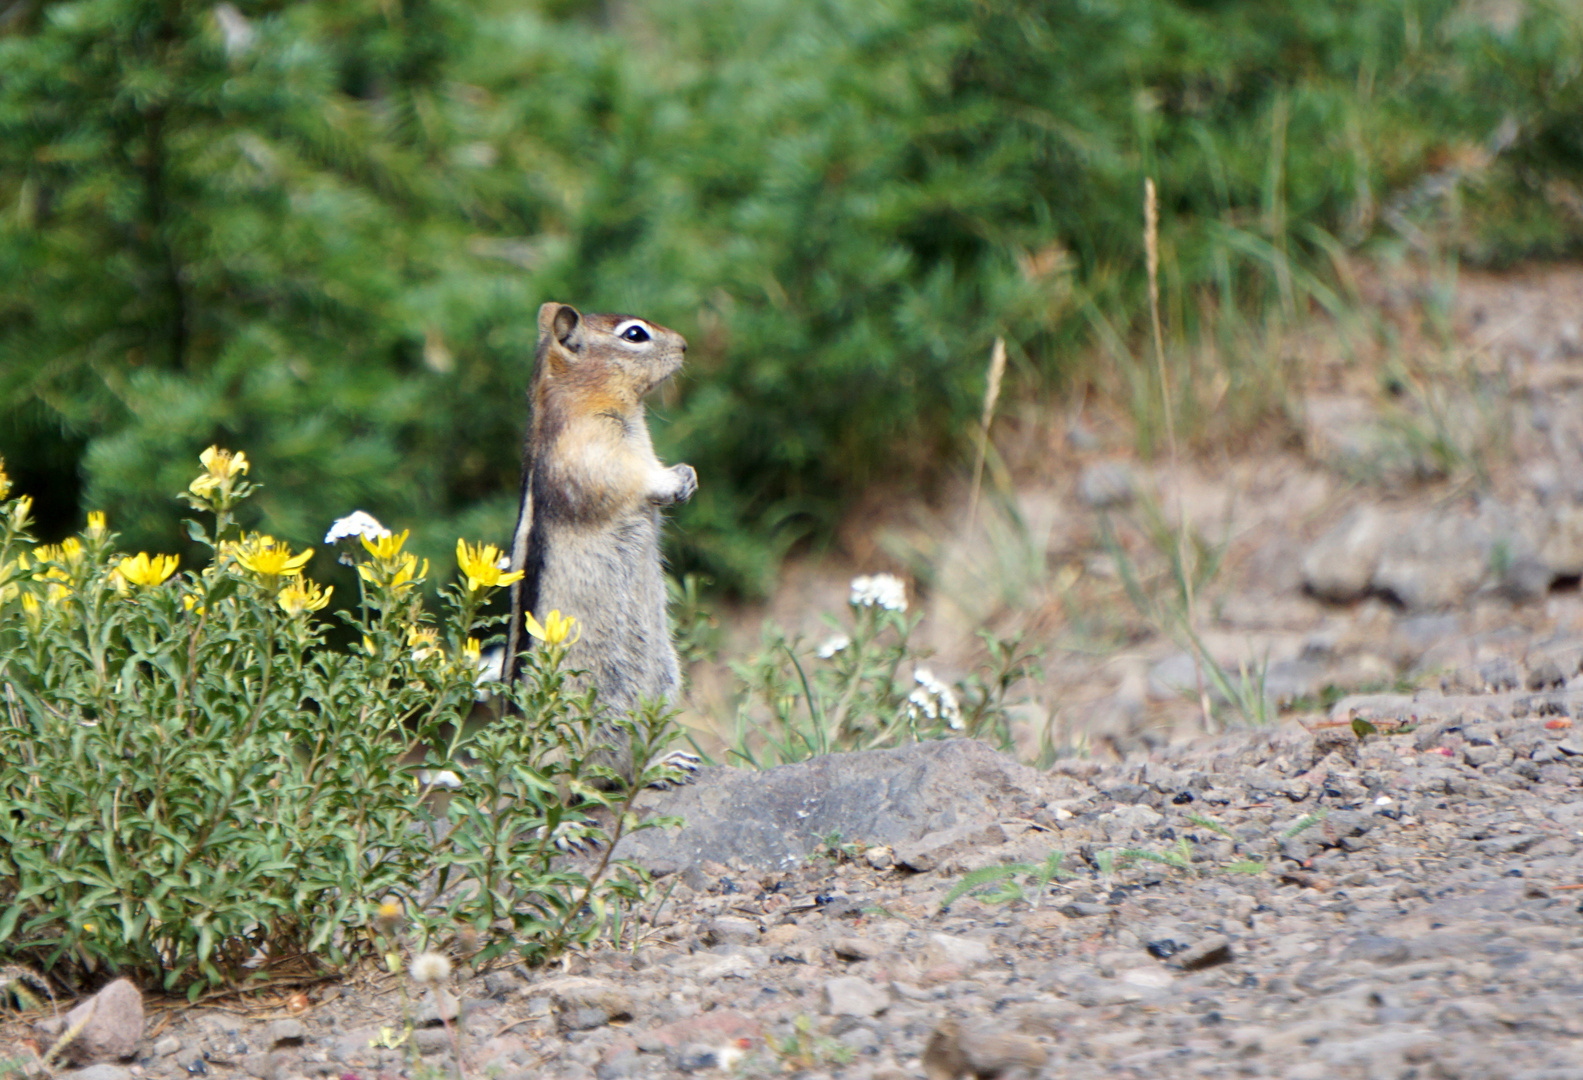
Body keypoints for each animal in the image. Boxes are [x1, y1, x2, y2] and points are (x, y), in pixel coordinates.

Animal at [506, 299, 699, 779]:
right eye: (635, 335)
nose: (685, 345)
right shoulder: (590, 456)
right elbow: (626, 483)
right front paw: (672, 481)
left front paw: (687, 475)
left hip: (662, 678)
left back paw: (665, 764)